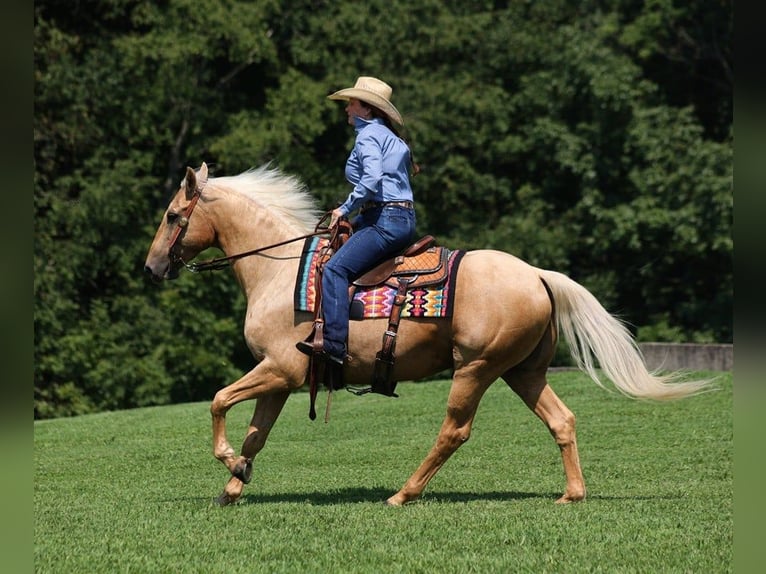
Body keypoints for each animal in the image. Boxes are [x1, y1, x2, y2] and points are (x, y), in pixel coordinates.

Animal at [144, 162, 714, 507]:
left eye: (172, 215)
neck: (278, 273)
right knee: (562, 420)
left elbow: (219, 401)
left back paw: (404, 493)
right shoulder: (283, 379)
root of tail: (536, 275)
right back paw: (571, 494)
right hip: (523, 372)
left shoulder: (278, 369)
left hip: (476, 369)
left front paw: (228, 464)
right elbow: (255, 434)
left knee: (454, 431)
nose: (151, 268)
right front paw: (235, 482)